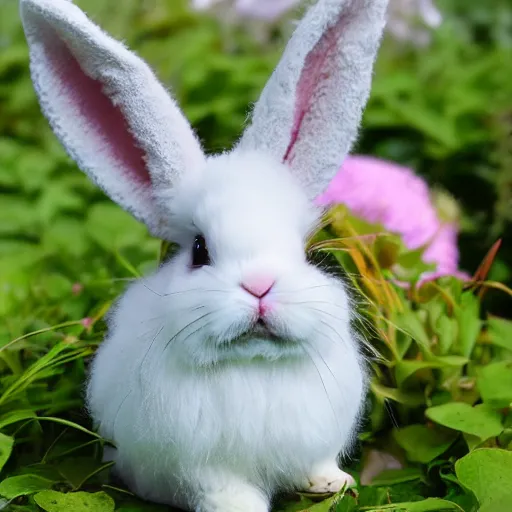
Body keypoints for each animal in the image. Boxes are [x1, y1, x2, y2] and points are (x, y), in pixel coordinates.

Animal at [20, 0, 388, 510]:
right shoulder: (200, 466)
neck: (253, 367)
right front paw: (242, 508)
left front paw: (333, 484)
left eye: (305, 250)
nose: (260, 286)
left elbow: (317, 463)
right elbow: (221, 487)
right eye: (199, 250)